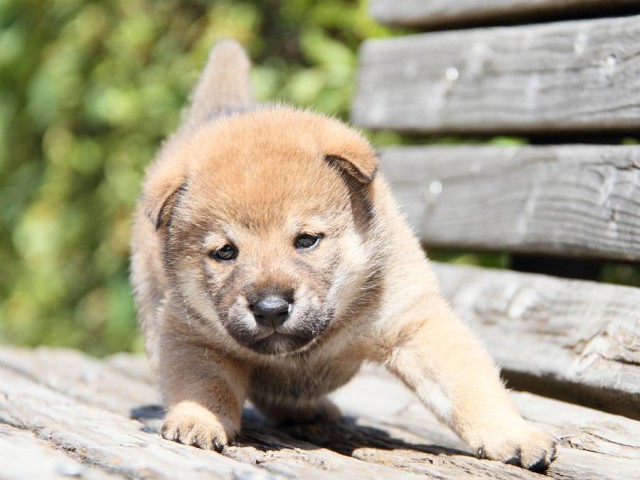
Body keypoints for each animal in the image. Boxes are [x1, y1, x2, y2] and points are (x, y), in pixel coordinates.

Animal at [130, 40, 556, 468]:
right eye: (225, 252)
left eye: (306, 240)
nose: (270, 309)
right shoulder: (191, 335)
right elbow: (204, 385)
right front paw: (197, 419)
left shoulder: (413, 324)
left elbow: (468, 385)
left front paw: (512, 434)